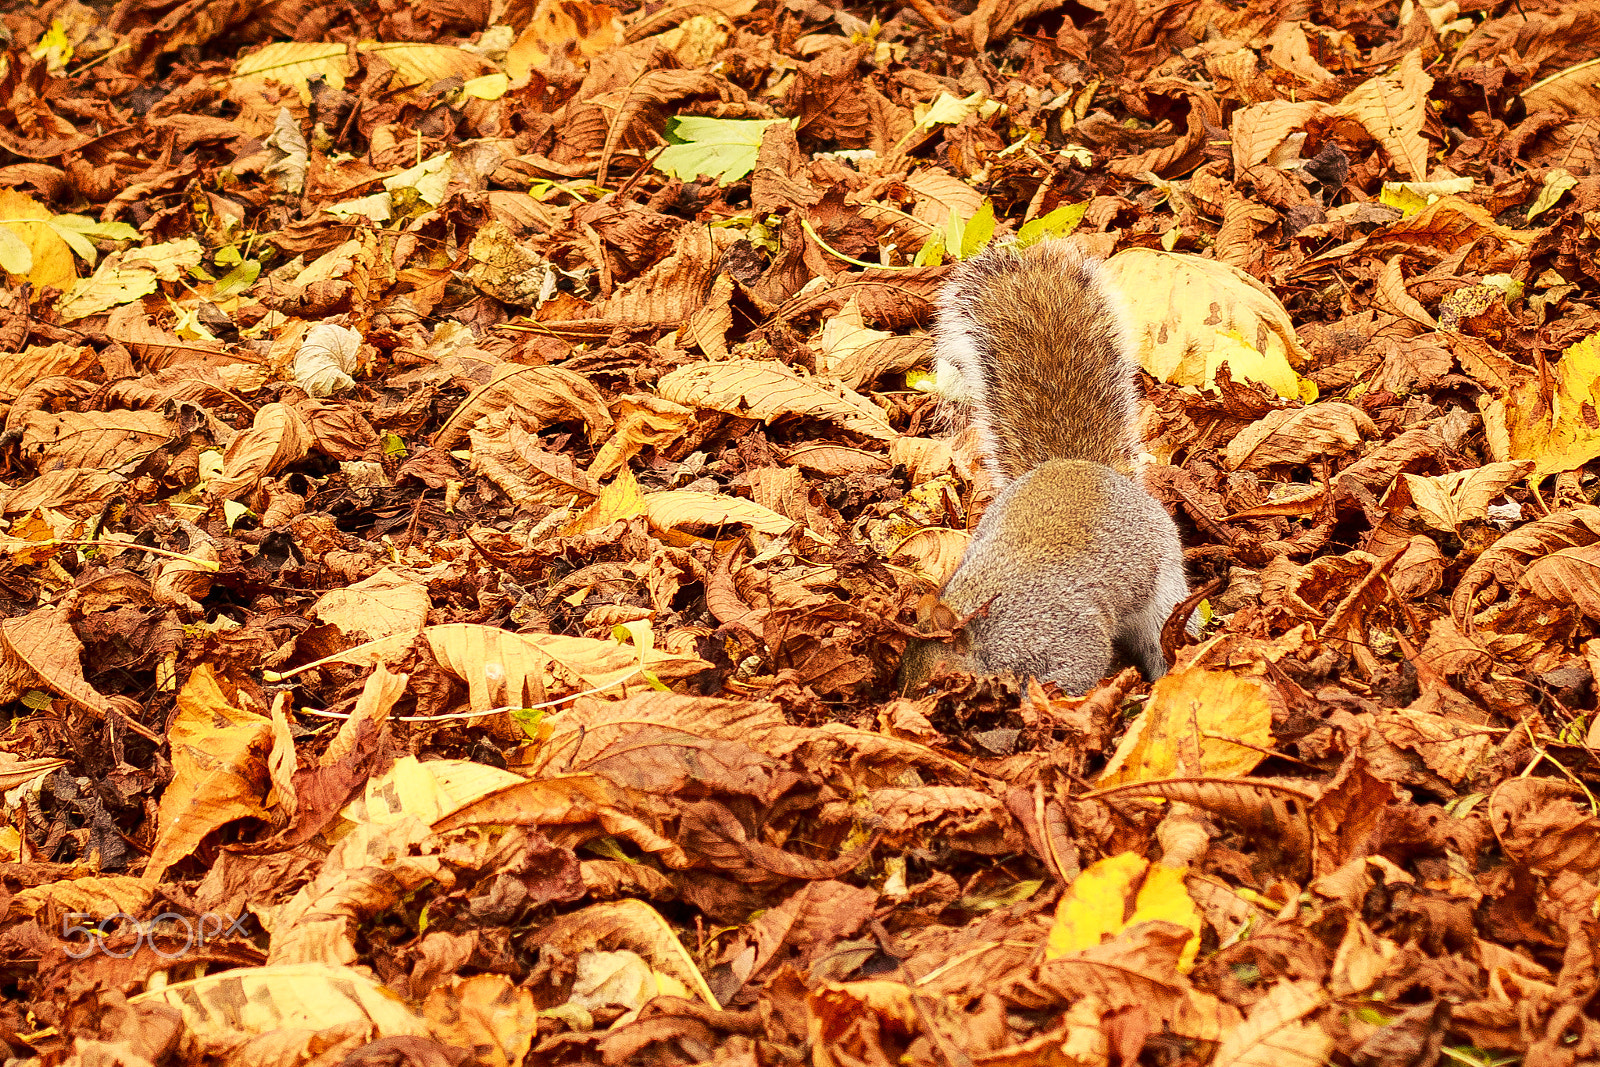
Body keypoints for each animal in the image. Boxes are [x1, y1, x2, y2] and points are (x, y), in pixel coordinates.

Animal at [902, 238, 1190, 697]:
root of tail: (1078, 464)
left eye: (933, 686)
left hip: (1163, 590)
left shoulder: (1062, 630)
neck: (988, 624)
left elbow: (1079, 668)